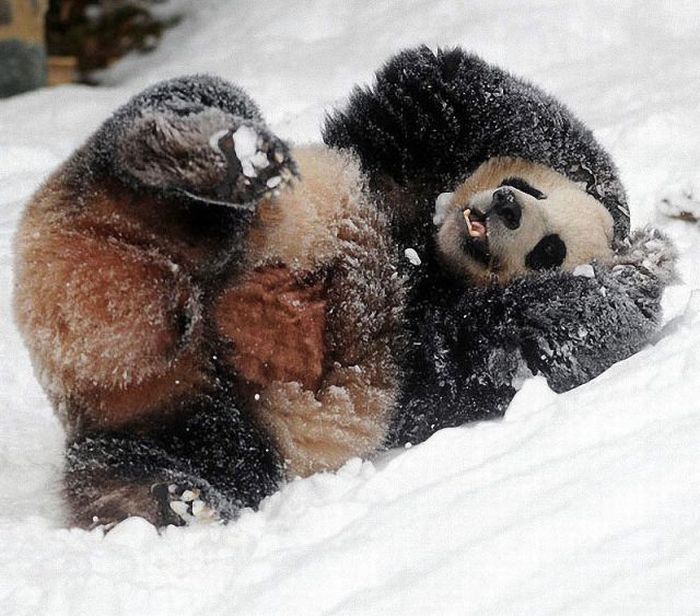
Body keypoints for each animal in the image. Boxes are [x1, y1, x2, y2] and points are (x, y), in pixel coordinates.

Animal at [13, 49, 676, 528]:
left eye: (550, 251)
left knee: (168, 461)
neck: (425, 257)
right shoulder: (388, 163)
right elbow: (446, 90)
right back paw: (222, 162)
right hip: (144, 208)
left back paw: (175, 498)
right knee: (183, 109)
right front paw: (636, 238)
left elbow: (534, 340)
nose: (508, 206)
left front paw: (638, 270)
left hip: (197, 412)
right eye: (531, 190)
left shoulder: (436, 358)